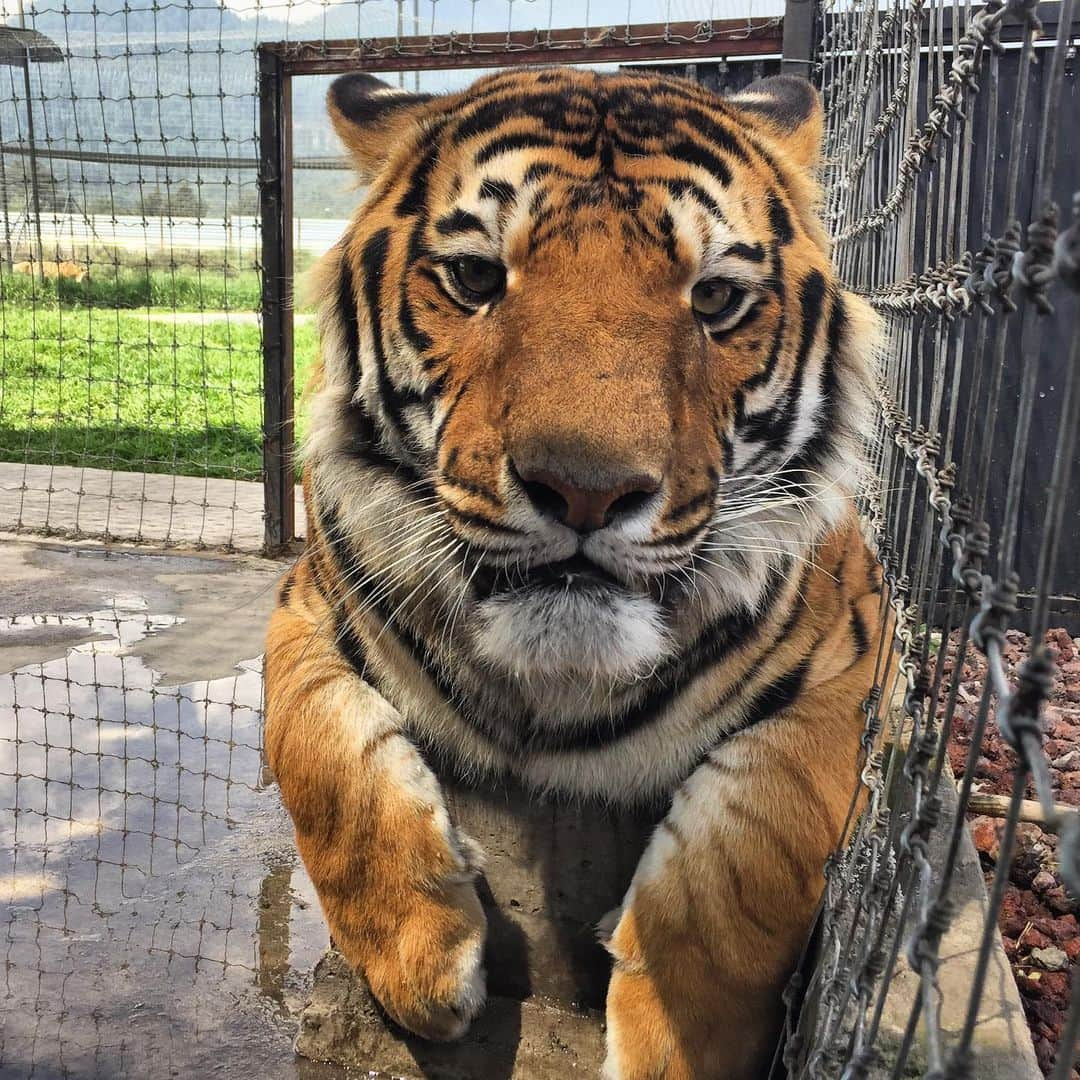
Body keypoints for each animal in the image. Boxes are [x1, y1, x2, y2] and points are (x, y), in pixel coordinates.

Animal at [263, 67, 885, 1080]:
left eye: (716, 297)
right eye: (477, 277)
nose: (587, 490)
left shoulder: (863, 656)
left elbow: (766, 835)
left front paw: (675, 1042)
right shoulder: (304, 599)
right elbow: (313, 744)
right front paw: (425, 963)